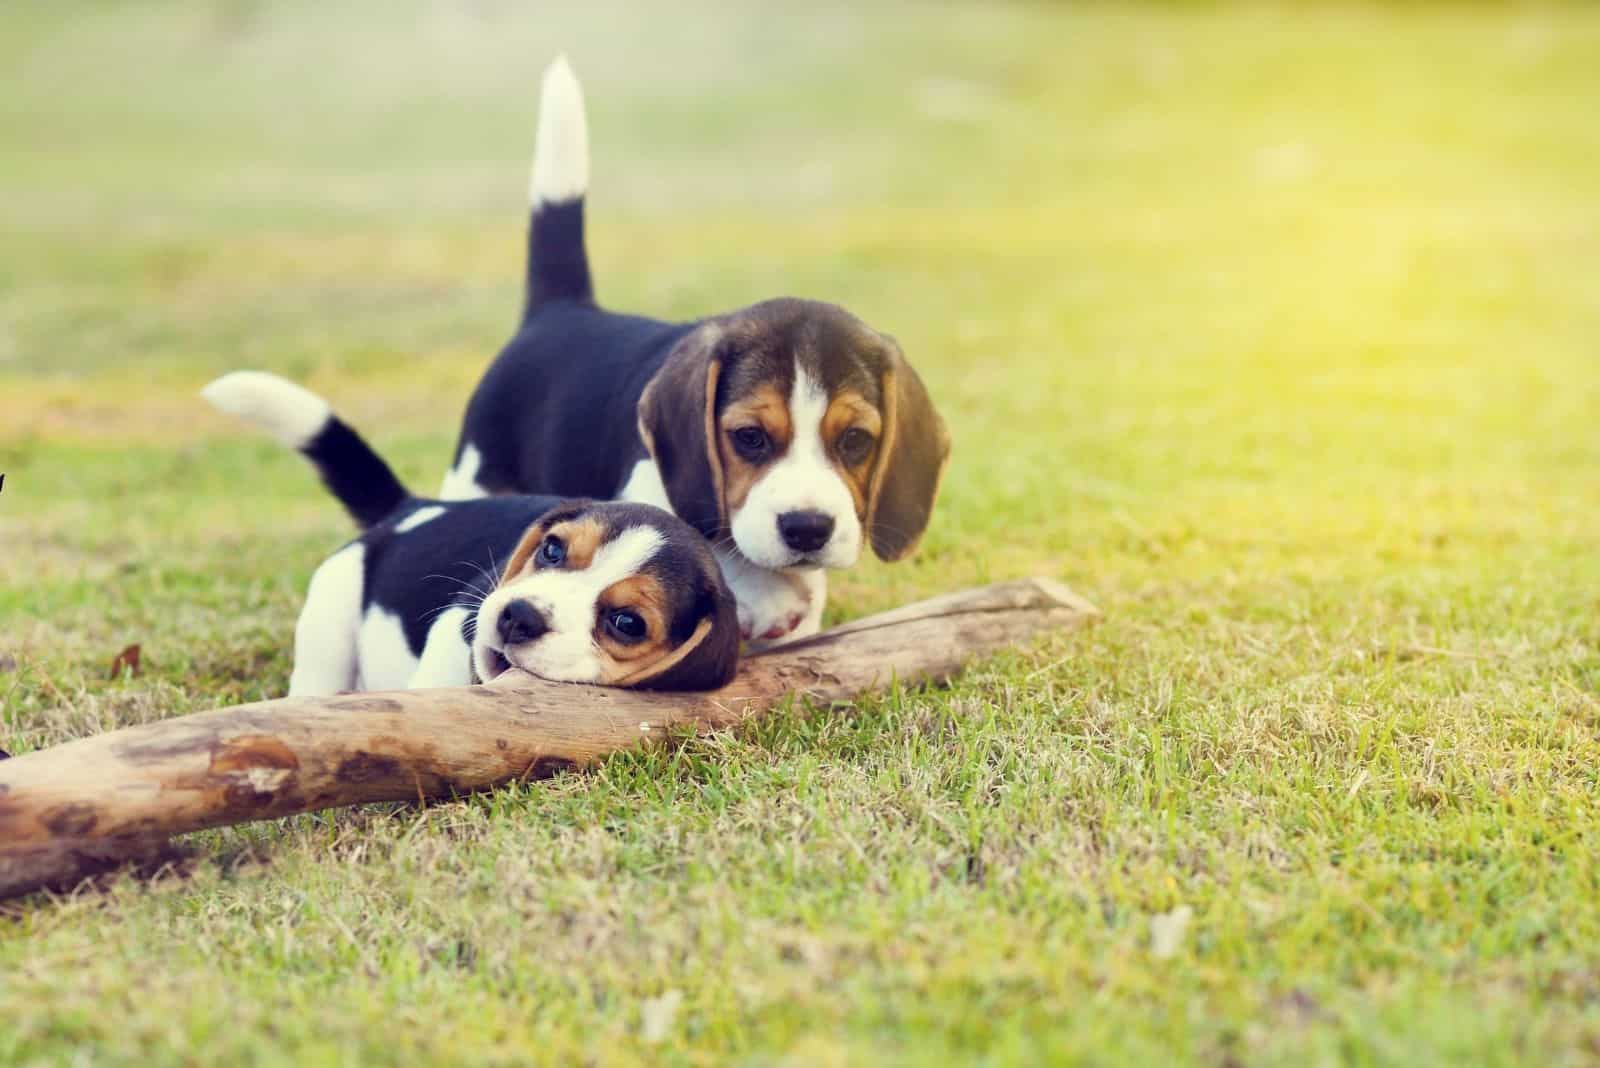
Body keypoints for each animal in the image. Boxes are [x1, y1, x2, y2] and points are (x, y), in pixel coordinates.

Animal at [201, 370, 742, 697]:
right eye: (552, 550)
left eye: (627, 623)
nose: (517, 616)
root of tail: (413, 507)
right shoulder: (459, 619)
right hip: (330, 619)